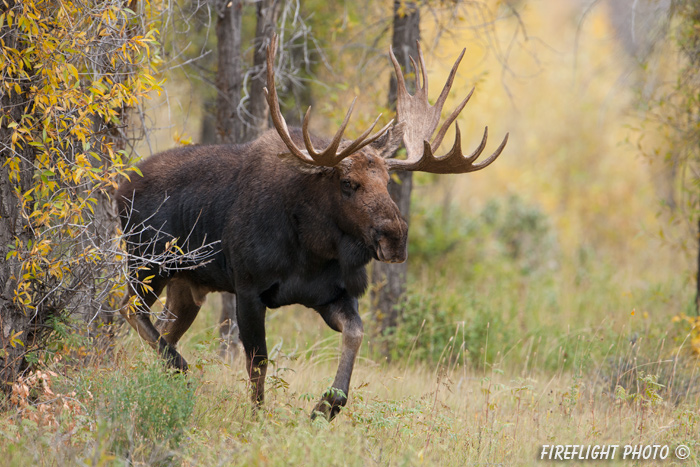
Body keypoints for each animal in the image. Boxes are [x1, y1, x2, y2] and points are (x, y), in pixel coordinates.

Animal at [115, 36, 508, 420]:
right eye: (348, 183)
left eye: (387, 180)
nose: (396, 238)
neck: (311, 250)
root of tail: (119, 189)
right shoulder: (248, 287)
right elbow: (258, 361)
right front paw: (257, 418)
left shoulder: (330, 293)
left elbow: (356, 334)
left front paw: (327, 404)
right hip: (149, 263)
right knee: (129, 309)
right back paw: (179, 370)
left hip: (186, 283)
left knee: (162, 327)